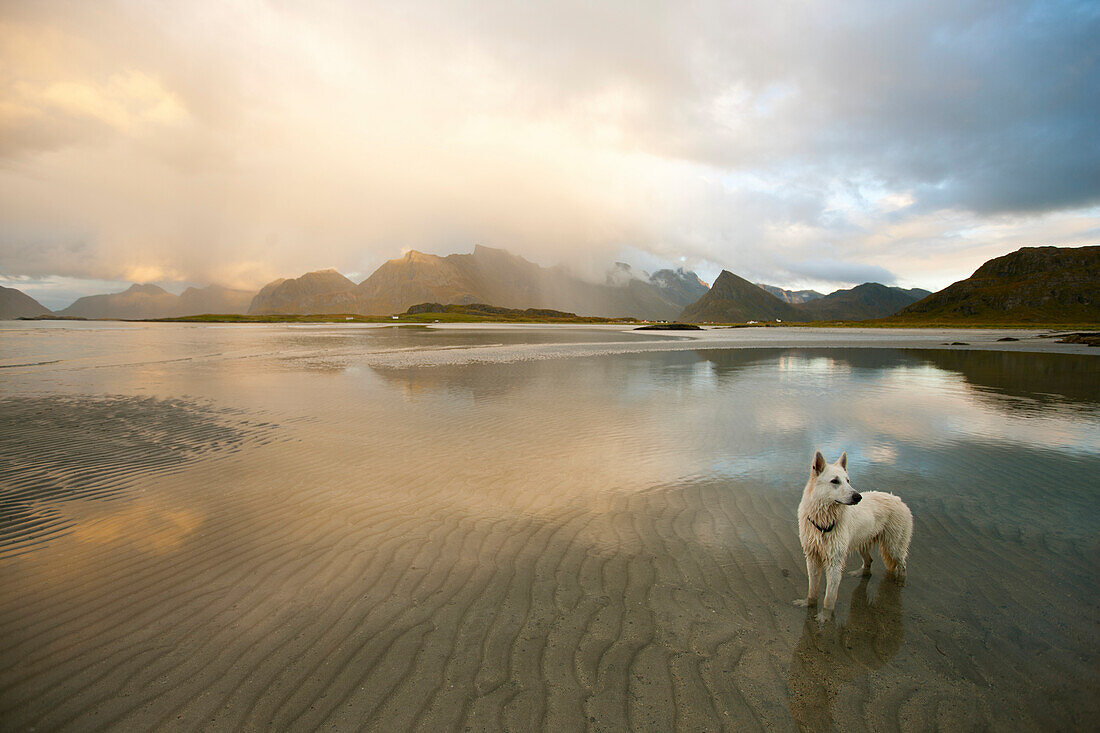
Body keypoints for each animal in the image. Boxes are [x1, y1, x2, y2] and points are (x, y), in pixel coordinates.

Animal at [796, 451, 915, 616]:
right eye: (835, 481)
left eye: (848, 481)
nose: (858, 497)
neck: (823, 523)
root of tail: (900, 500)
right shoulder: (812, 557)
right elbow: (812, 588)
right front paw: (809, 603)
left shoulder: (835, 562)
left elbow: (829, 596)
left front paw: (825, 616)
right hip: (862, 543)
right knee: (869, 560)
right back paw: (861, 573)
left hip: (894, 546)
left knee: (902, 564)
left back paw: (900, 581)